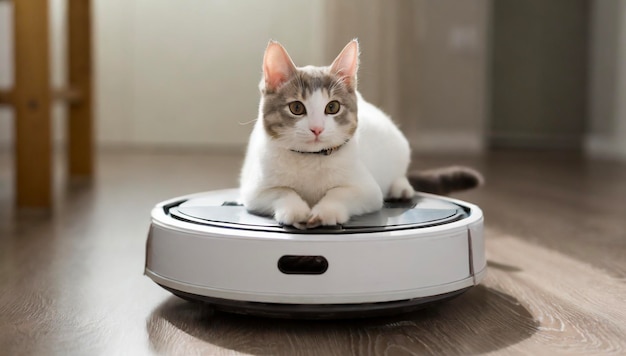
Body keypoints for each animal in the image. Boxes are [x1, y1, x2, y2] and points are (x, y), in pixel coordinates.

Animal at [240, 38, 482, 228]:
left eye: (332, 107)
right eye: (297, 108)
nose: (317, 128)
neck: (311, 159)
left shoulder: (368, 189)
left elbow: (342, 192)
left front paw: (326, 211)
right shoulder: (254, 190)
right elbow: (281, 191)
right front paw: (295, 210)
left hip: (398, 145)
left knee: (400, 171)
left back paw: (401, 187)